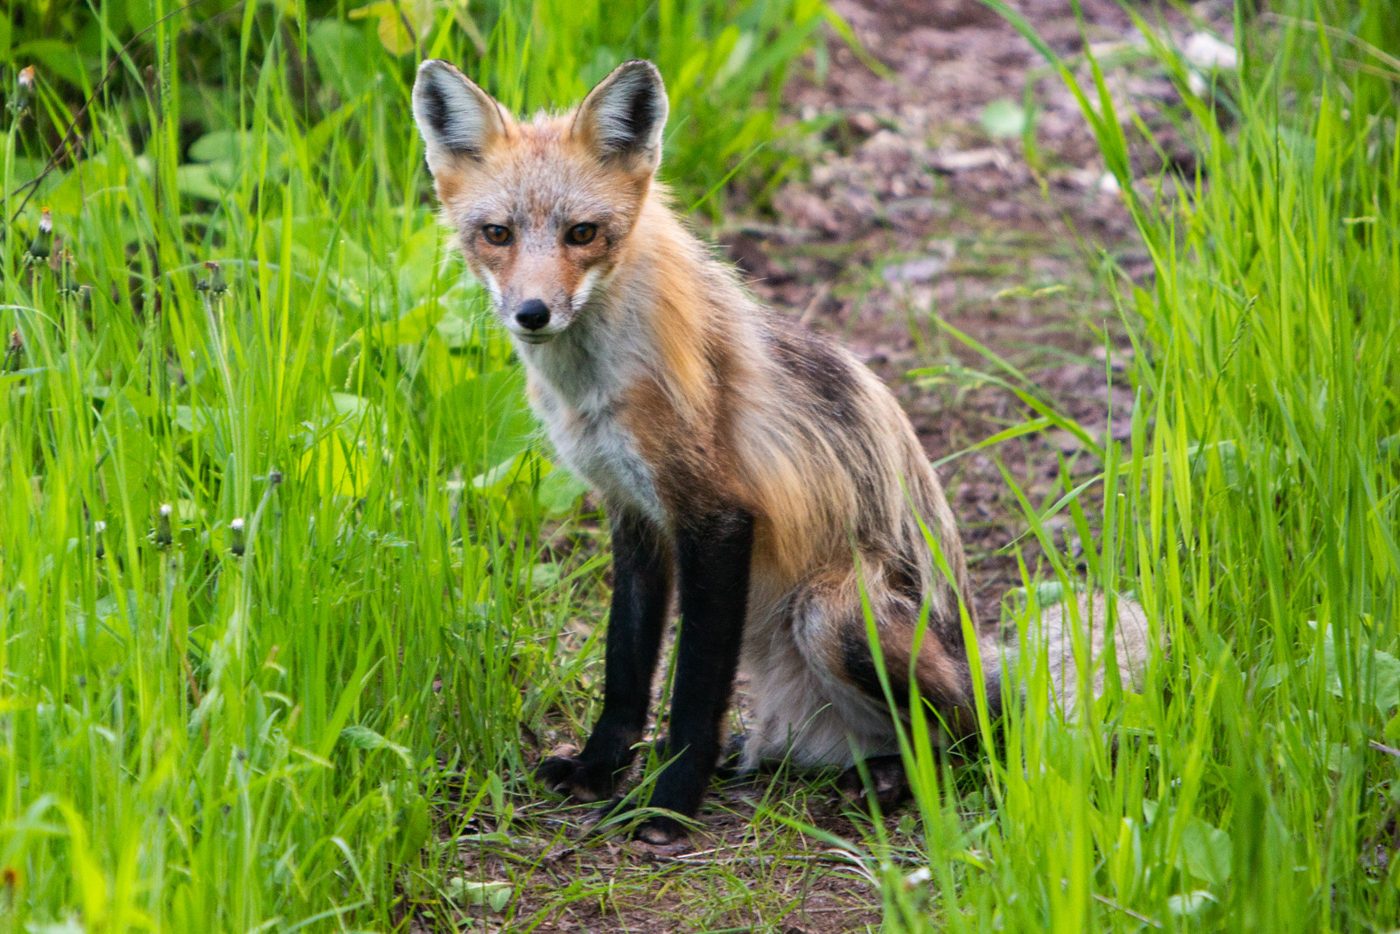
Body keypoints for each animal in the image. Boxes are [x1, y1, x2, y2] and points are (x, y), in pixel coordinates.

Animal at [410, 58, 1153, 844]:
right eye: (497, 233)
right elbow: (625, 664)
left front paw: (668, 801)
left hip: (835, 613)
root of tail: (979, 663)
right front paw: (599, 764)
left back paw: (894, 781)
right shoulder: (633, 512)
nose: (532, 313)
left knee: (969, 737)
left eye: (583, 232)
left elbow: (694, 688)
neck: (597, 391)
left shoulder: (717, 516)